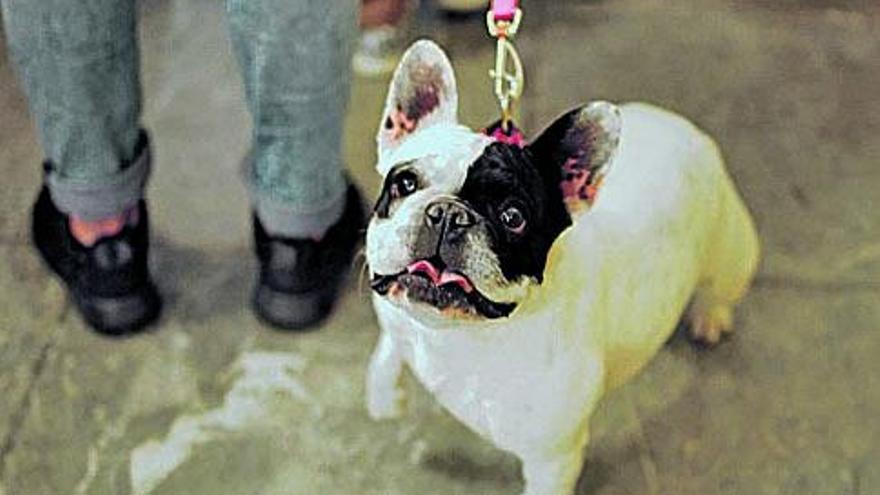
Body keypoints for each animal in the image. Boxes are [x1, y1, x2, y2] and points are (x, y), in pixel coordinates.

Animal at [362, 41, 756, 495]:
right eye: (406, 183)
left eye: (513, 217)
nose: (448, 213)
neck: (456, 334)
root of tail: (680, 125)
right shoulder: (396, 313)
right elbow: (389, 346)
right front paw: (383, 395)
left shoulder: (553, 460)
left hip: (731, 249)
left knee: (720, 287)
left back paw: (710, 316)